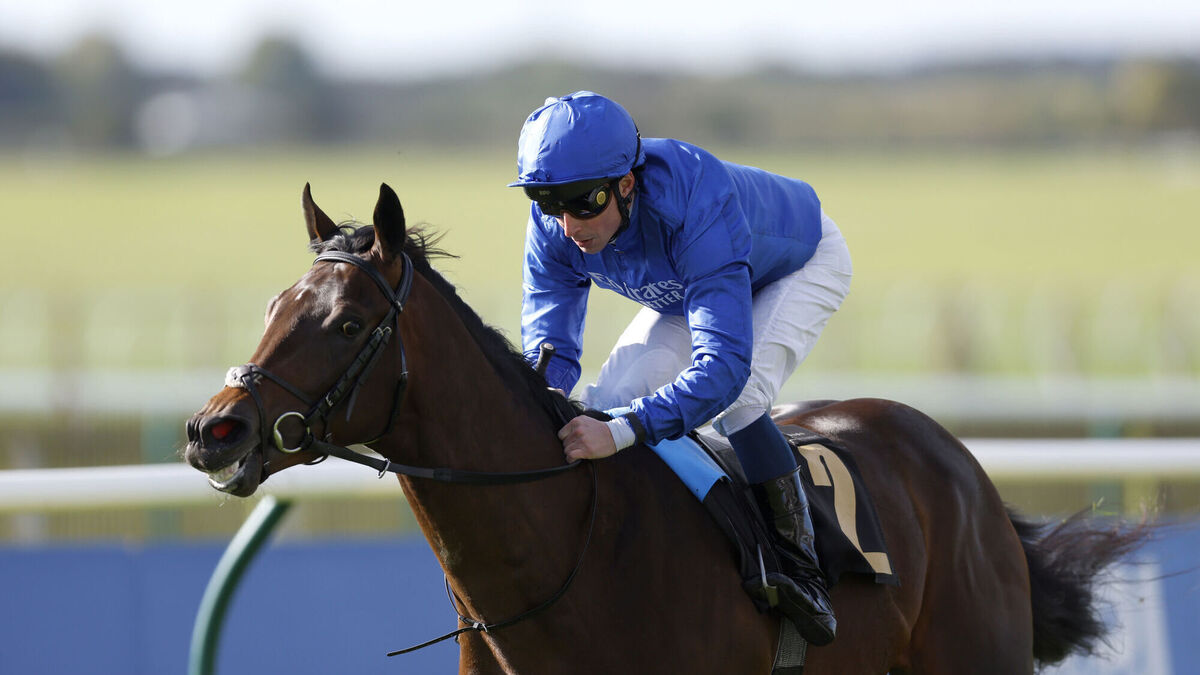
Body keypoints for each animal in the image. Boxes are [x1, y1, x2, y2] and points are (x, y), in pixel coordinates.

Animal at [185, 183, 1149, 674]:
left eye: (347, 322)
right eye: (273, 307)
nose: (212, 430)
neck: (563, 558)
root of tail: (958, 462)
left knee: (746, 389)